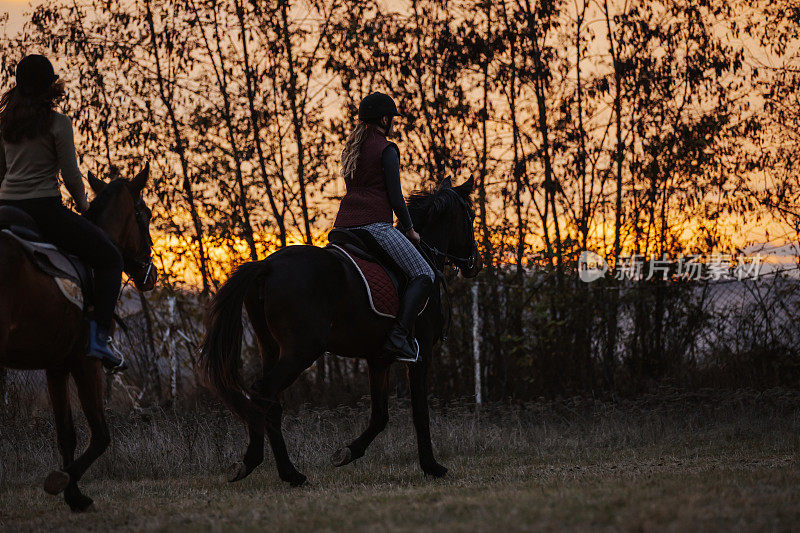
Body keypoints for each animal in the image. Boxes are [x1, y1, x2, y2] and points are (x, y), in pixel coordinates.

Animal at [0, 164, 157, 510]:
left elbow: (66, 434)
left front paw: (74, 495)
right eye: (146, 215)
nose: (150, 275)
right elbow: (100, 434)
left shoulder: (56, 365)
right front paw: (62, 482)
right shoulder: (86, 362)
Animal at [198, 178, 482, 486]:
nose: (475, 265)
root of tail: (267, 265)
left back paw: (287, 473)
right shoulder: (421, 354)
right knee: (263, 392)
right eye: (471, 216)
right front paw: (432, 466)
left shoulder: (378, 359)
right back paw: (259, 464)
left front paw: (347, 452)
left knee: (271, 403)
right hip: (302, 350)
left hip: (270, 348)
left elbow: (380, 415)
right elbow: (420, 411)